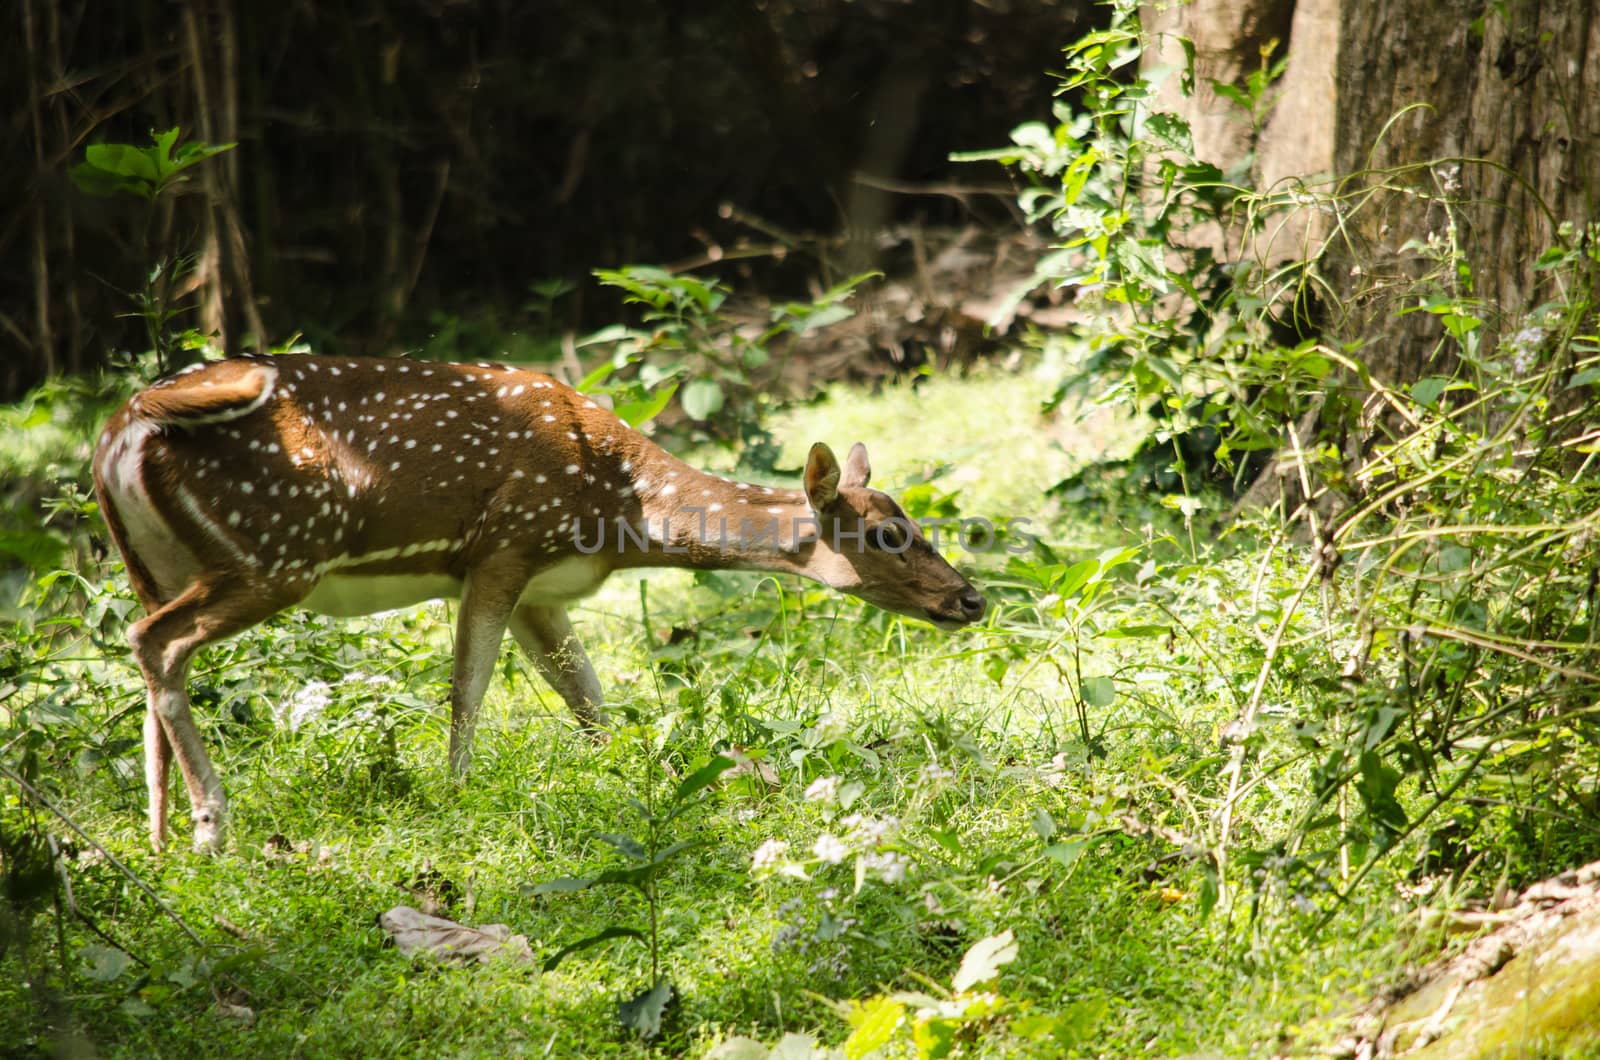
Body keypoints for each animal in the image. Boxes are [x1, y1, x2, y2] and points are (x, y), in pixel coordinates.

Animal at [93, 357, 985, 858]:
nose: (971, 597)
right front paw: (457, 797)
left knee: (148, 654)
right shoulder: (504, 546)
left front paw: (633, 777)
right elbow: (468, 689)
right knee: (158, 643)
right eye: (889, 533)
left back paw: (159, 839)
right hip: (277, 551)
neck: (619, 508)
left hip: (156, 562)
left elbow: (587, 695)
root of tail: (117, 436)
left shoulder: (542, 587)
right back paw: (212, 827)